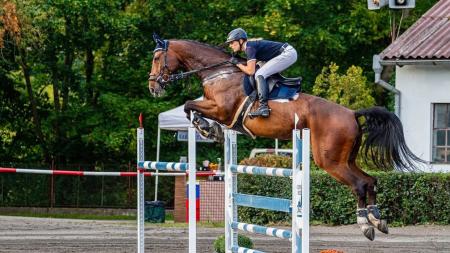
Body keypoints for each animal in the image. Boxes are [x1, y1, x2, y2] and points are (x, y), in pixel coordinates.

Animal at [149, 34, 426, 240]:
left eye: (156, 57)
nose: (153, 87)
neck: (220, 73)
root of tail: (351, 113)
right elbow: (191, 106)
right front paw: (210, 129)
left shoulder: (221, 110)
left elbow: (189, 105)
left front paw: (206, 128)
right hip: (345, 158)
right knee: (370, 181)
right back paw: (378, 220)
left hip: (329, 160)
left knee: (359, 184)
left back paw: (366, 225)